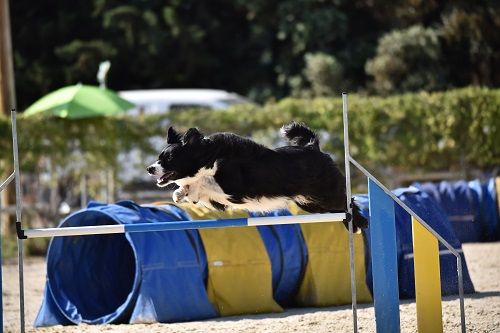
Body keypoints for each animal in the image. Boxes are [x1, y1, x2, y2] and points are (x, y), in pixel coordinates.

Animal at [145, 121, 368, 231]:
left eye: (169, 158)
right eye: (159, 157)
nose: (149, 168)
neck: (209, 157)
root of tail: (313, 147)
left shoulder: (235, 188)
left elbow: (205, 183)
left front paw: (187, 191)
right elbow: (194, 187)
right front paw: (181, 193)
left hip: (326, 195)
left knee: (348, 202)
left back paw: (360, 223)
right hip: (310, 203)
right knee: (341, 208)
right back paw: (354, 225)